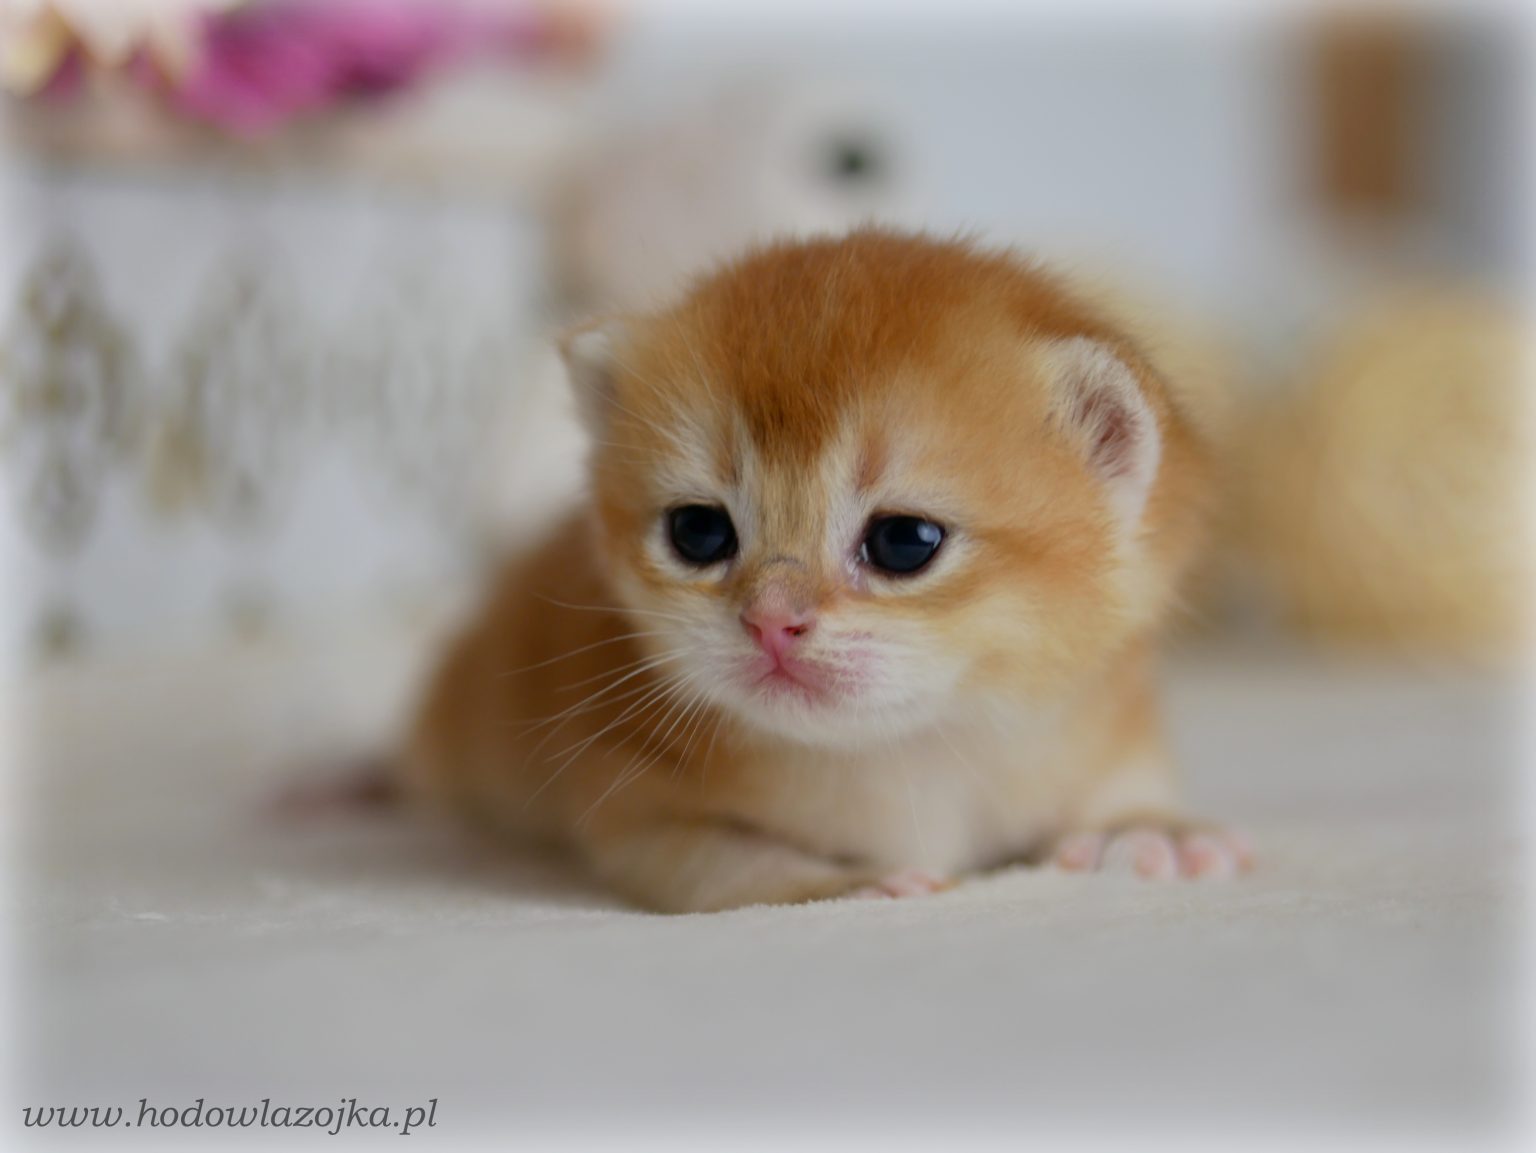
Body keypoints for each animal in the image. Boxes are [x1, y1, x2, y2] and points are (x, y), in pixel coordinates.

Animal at [402, 229, 1248, 912]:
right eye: (698, 531)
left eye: (904, 541)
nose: (772, 619)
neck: (909, 749)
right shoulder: (635, 806)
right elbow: (727, 866)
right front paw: (847, 880)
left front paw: (1149, 829)